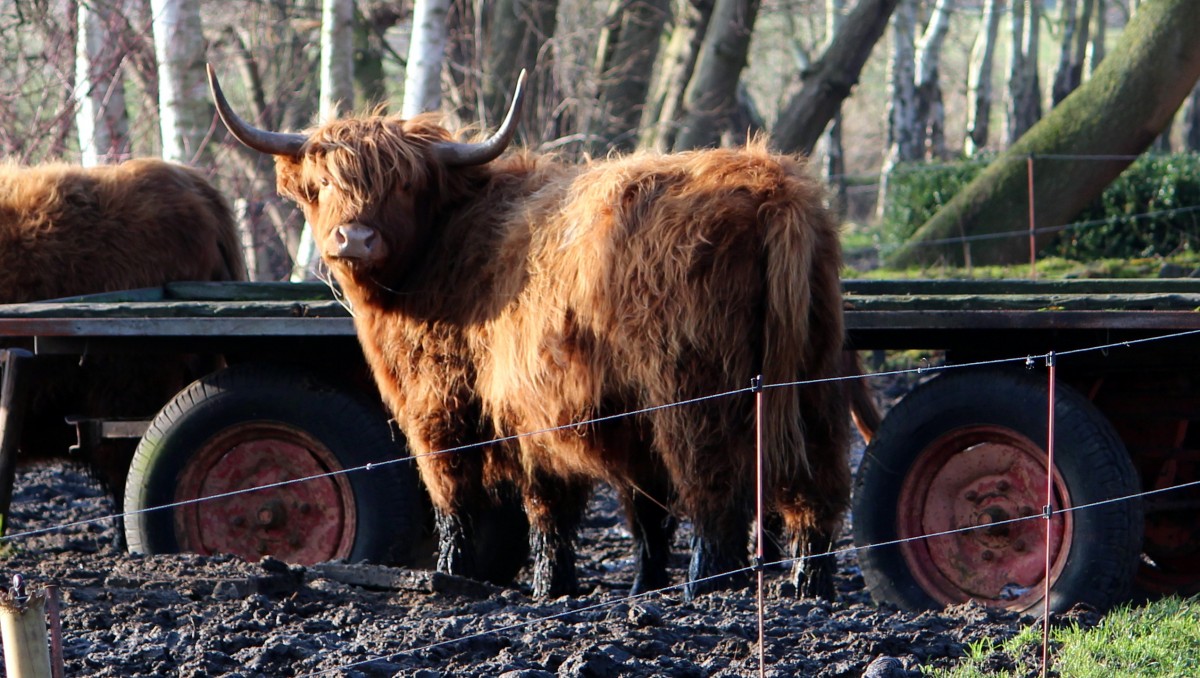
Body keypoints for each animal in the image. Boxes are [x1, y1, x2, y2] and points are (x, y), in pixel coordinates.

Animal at [208, 67, 854, 597]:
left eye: (406, 186)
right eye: (321, 185)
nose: (355, 239)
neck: (448, 246)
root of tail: (772, 187)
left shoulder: (459, 402)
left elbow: (483, 495)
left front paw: (475, 576)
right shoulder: (616, 413)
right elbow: (640, 507)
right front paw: (634, 583)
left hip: (693, 388)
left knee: (714, 485)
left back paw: (708, 584)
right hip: (813, 374)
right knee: (817, 482)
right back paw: (808, 584)